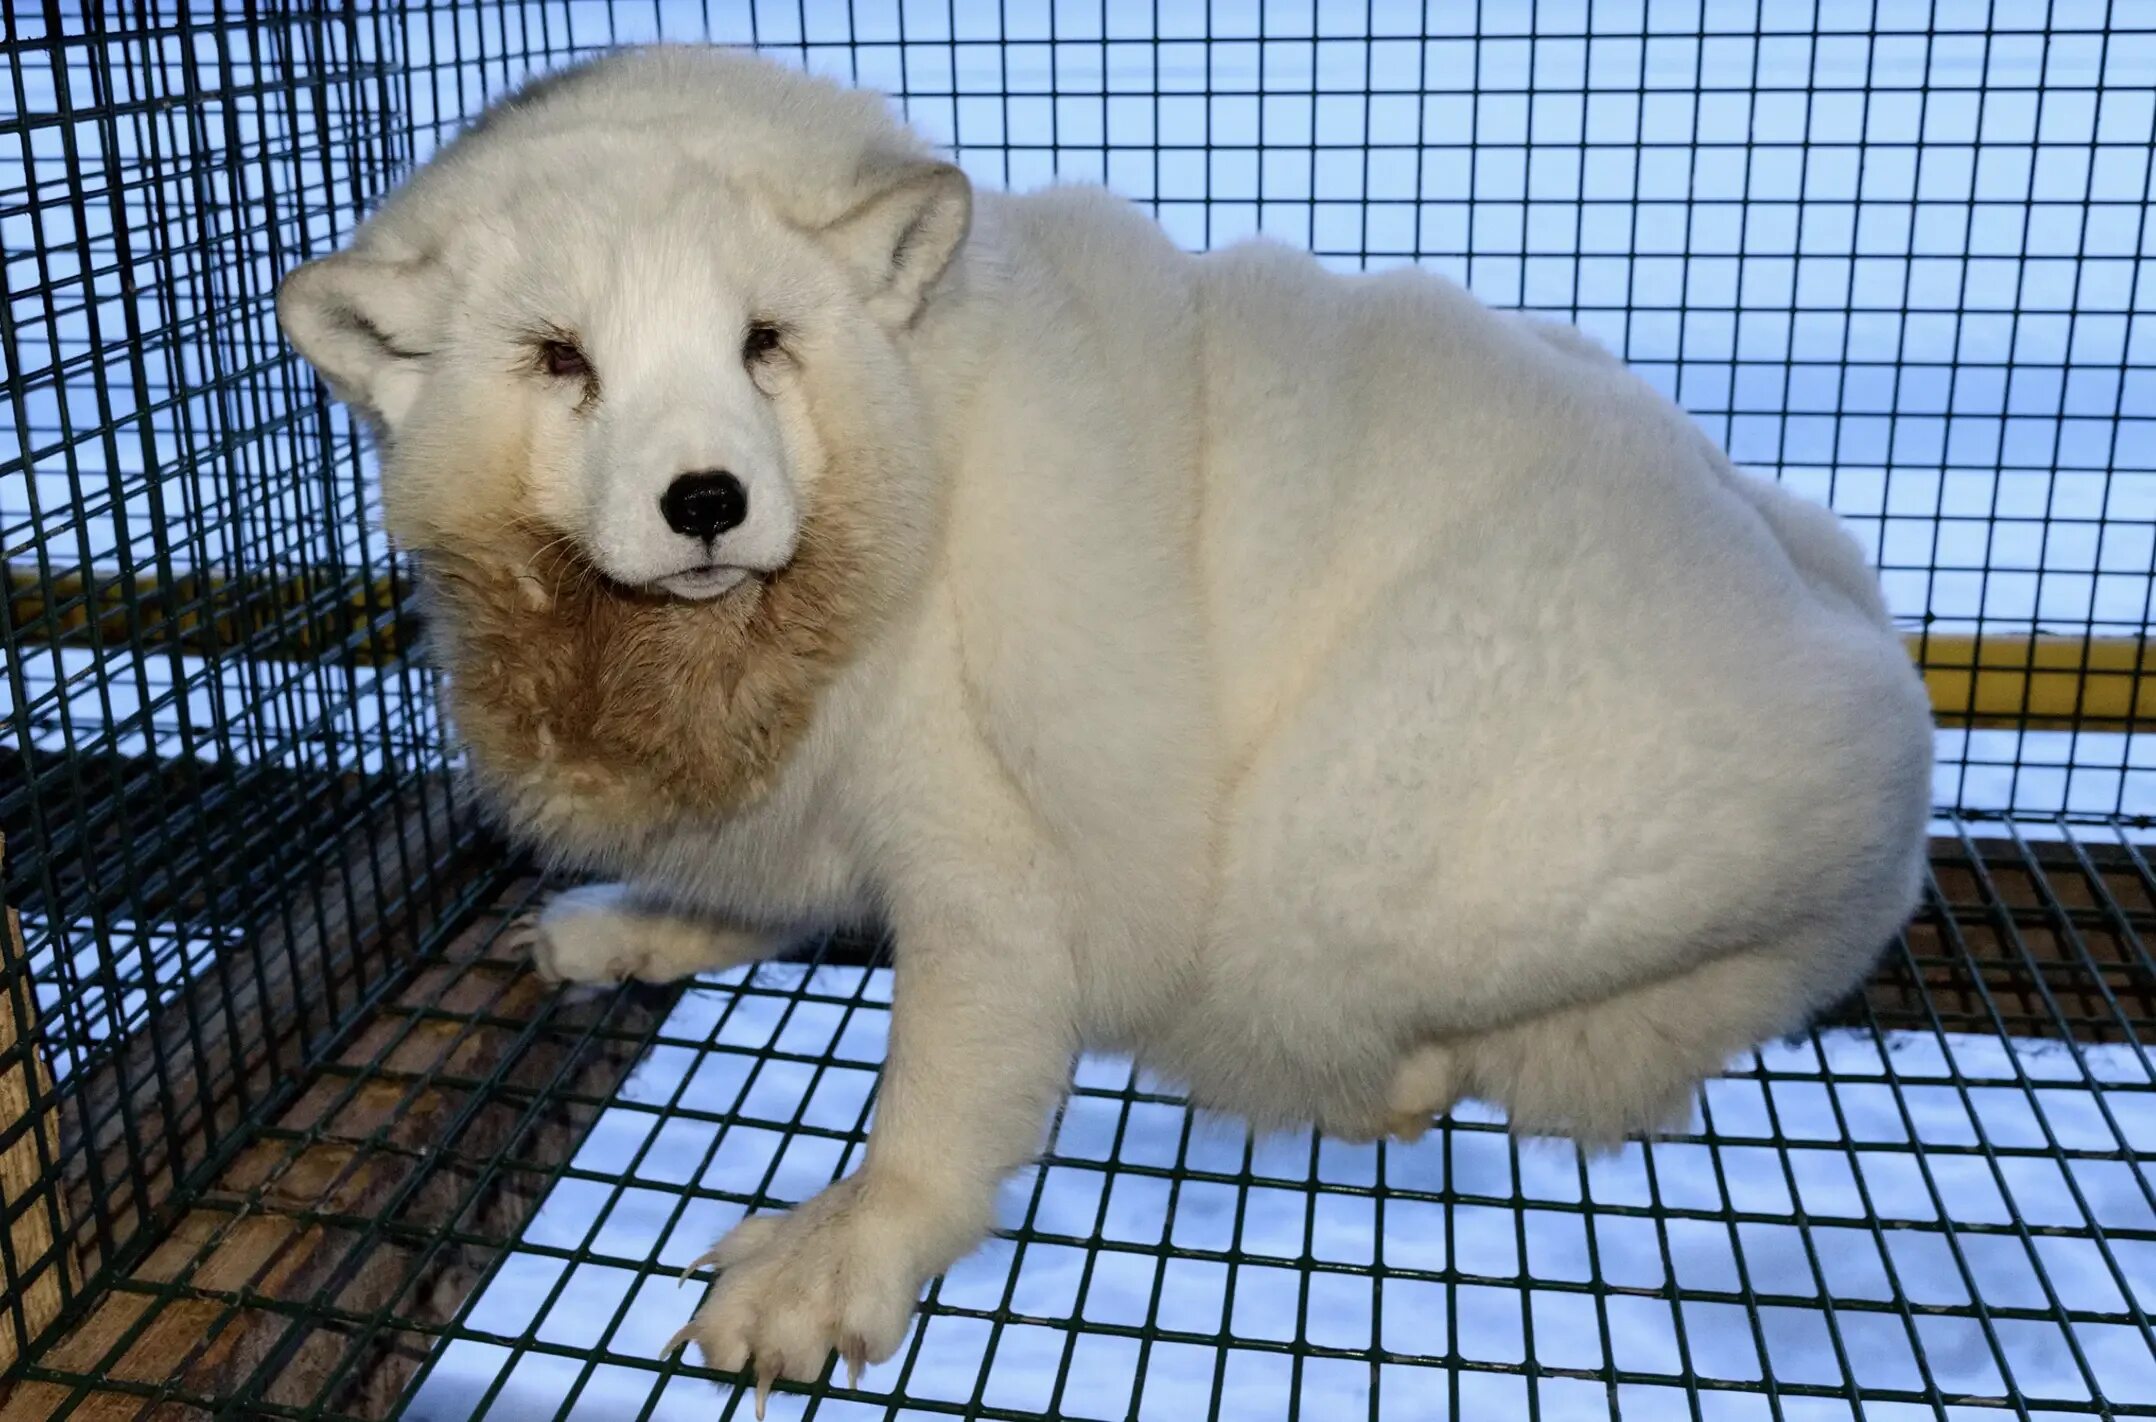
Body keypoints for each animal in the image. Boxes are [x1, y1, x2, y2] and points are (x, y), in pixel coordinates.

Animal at [273, 44, 1940, 1396]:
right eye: (559, 356)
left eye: (765, 341)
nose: (706, 501)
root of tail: (1868, 646)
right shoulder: (792, 801)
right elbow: (758, 897)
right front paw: (640, 925)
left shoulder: (991, 848)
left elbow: (944, 1082)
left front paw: (852, 1246)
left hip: (1378, 846)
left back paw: (1397, 1079)